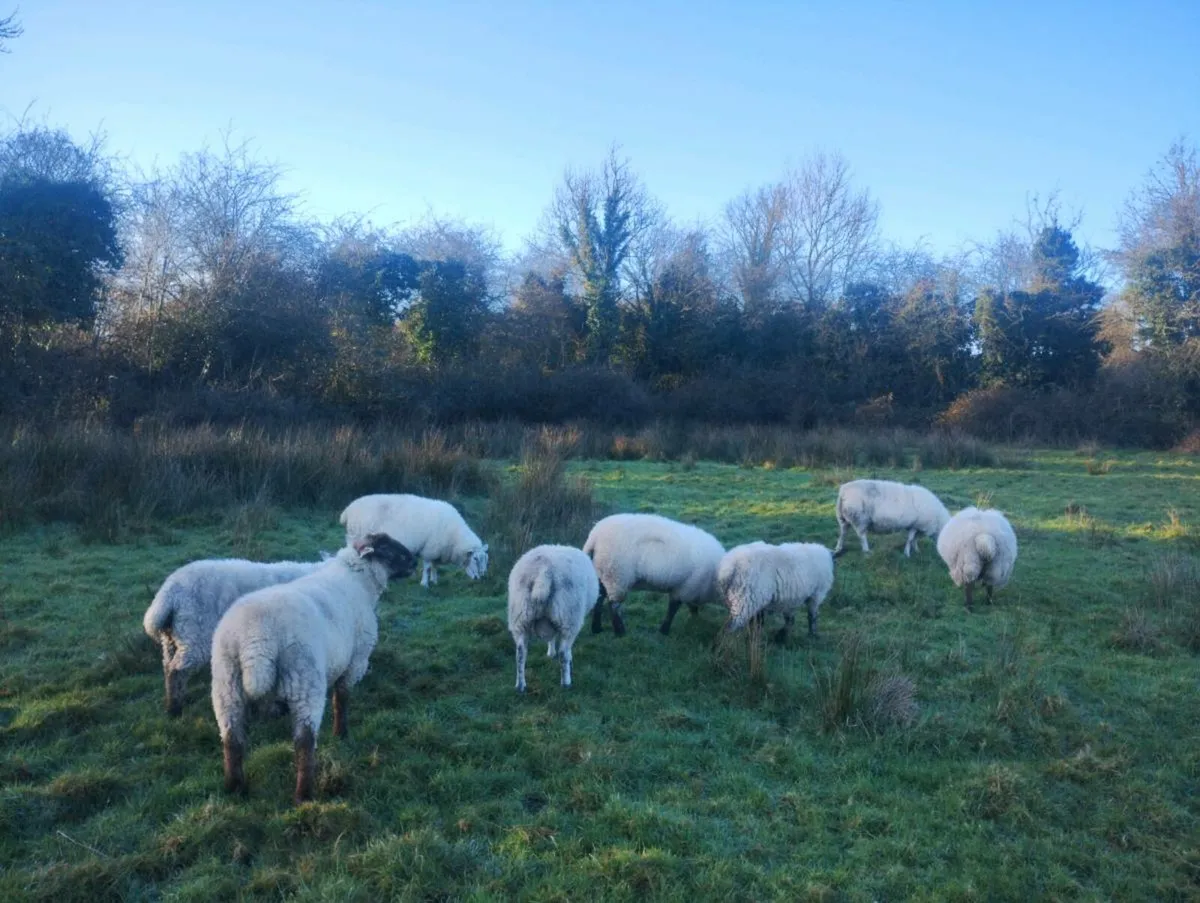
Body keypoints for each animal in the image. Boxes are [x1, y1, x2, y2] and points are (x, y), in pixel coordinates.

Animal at [143, 557, 324, 716]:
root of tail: (169, 593)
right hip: (194, 636)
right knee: (177, 670)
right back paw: (174, 708)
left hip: (173, 637)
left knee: (168, 666)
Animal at [210, 533, 416, 805]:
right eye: (388, 548)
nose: (414, 562)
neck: (359, 581)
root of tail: (256, 637)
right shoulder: (355, 661)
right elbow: (342, 698)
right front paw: (342, 733)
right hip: (305, 682)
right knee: (304, 742)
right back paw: (304, 795)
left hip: (226, 685)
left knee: (232, 739)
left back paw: (235, 788)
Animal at [340, 493, 488, 588]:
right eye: (475, 558)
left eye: (485, 559)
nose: (481, 577)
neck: (455, 537)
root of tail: (348, 510)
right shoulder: (429, 549)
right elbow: (427, 567)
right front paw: (424, 584)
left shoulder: (437, 550)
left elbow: (435, 566)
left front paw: (434, 580)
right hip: (357, 538)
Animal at [507, 544, 601, 692]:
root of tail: (544, 571)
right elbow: (565, 648)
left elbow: (551, 638)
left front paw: (550, 652)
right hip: (569, 616)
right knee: (563, 653)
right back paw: (566, 682)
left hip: (520, 617)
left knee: (520, 653)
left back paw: (520, 686)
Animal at [582, 513, 726, 637]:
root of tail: (595, 536)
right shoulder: (686, 588)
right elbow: (673, 609)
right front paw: (664, 631)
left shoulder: (691, 590)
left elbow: (691, 606)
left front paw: (695, 619)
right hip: (617, 575)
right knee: (614, 605)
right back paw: (620, 633)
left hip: (603, 572)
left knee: (599, 598)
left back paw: (597, 628)